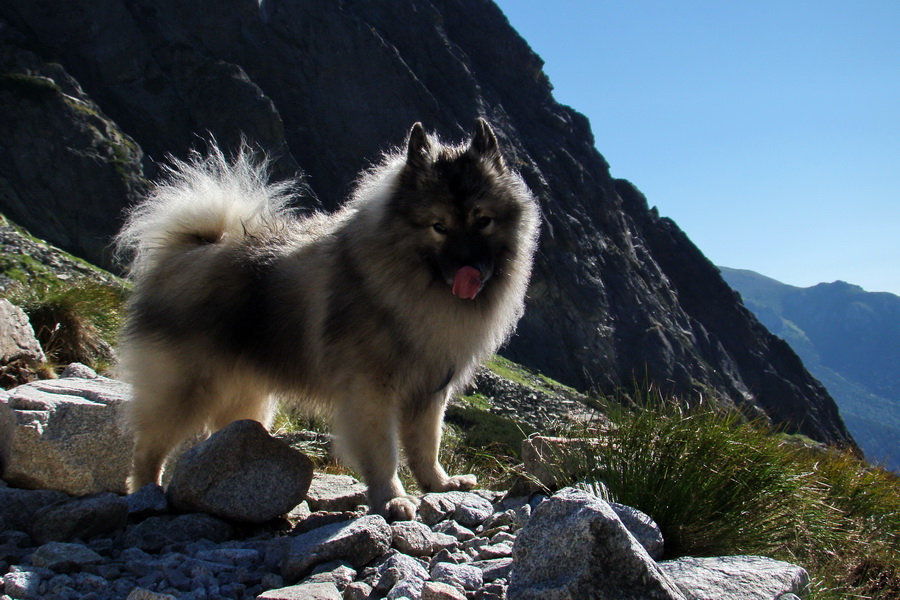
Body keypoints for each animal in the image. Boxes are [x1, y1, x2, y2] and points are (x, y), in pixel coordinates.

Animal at [118, 119, 540, 516]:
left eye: (483, 220)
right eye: (440, 227)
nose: (471, 269)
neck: (414, 286)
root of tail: (188, 251)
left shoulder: (429, 392)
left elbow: (426, 446)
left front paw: (439, 484)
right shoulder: (371, 390)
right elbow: (384, 451)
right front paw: (392, 499)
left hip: (247, 398)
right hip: (184, 389)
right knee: (147, 448)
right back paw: (146, 493)